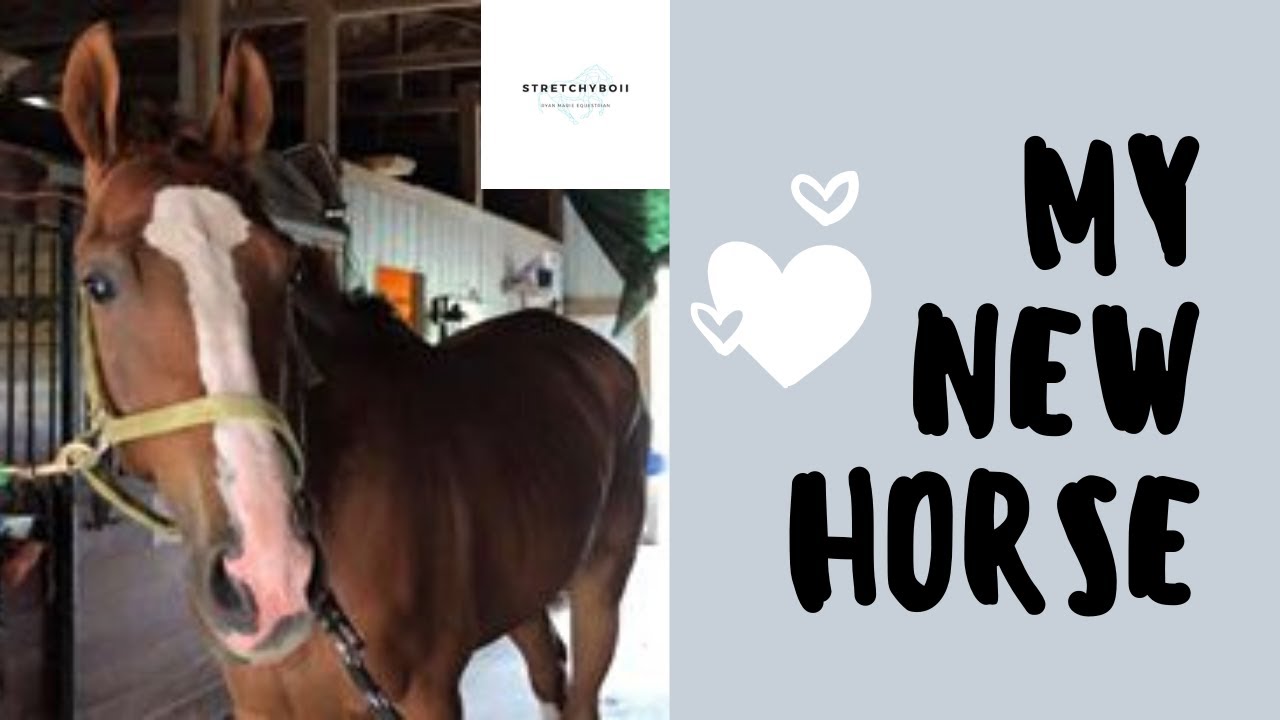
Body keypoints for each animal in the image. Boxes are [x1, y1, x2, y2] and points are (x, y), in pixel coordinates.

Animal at [59, 23, 648, 719]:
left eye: (288, 271)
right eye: (97, 284)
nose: (272, 574)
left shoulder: (427, 696)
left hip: (598, 587)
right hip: (523, 593)